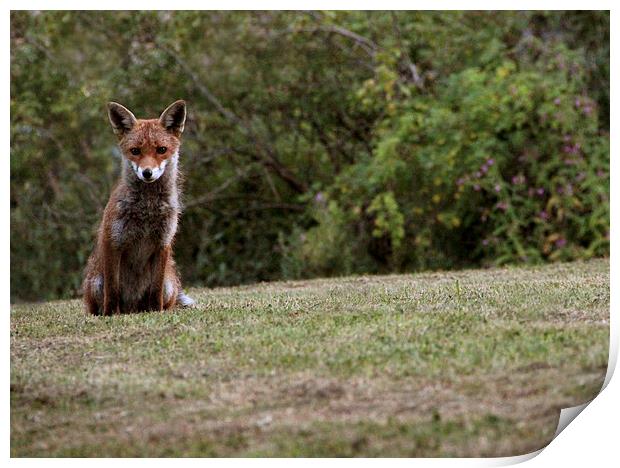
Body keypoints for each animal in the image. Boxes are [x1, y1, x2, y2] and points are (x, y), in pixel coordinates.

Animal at [81, 100, 194, 316]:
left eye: (161, 150)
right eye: (135, 151)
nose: (147, 173)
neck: (147, 210)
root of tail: (132, 309)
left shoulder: (163, 243)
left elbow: (155, 291)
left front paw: (156, 312)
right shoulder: (113, 241)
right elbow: (112, 289)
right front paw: (110, 315)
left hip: (169, 286)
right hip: (95, 284)